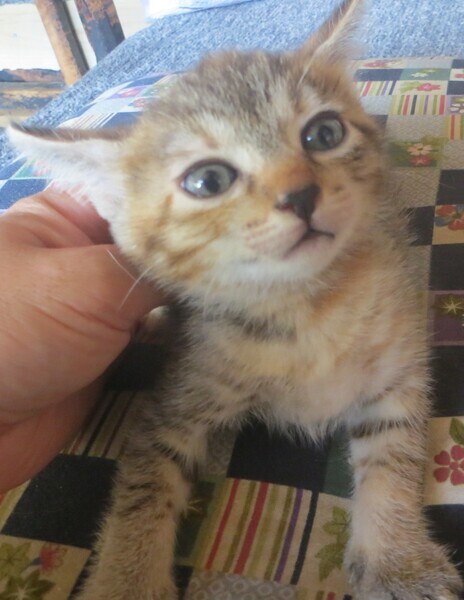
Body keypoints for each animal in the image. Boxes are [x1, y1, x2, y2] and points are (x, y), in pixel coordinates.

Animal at [8, 0, 464, 598]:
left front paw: (399, 561)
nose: (301, 194)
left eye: (324, 133)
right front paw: (128, 578)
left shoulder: (399, 369)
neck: (305, 308)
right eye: (207, 181)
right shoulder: (173, 403)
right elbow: (142, 490)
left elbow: (394, 456)